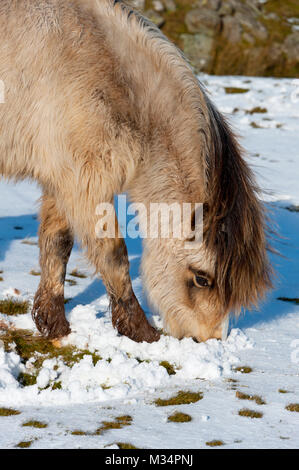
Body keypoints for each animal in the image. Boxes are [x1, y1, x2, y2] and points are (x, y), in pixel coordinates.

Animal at [0, 0, 272, 346]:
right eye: (201, 279)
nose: (208, 340)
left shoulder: (65, 178)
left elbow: (58, 243)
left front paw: (53, 324)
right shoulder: (84, 182)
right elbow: (114, 255)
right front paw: (140, 331)